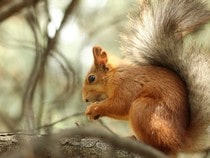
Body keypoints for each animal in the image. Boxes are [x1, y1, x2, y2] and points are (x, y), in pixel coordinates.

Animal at [81, 0, 210, 156]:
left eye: (91, 78)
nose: (85, 99)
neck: (114, 75)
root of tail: (180, 139)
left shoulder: (127, 84)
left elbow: (120, 104)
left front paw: (94, 108)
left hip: (144, 110)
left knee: (163, 147)